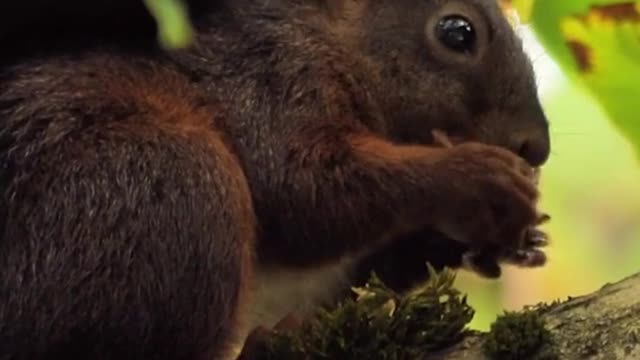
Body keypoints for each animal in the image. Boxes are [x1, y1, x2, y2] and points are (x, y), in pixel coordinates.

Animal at [0, 0, 552, 358]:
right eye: (457, 31)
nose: (537, 147)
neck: (332, 39)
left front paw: (496, 239)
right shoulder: (270, 77)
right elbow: (302, 192)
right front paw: (473, 178)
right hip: (166, 184)